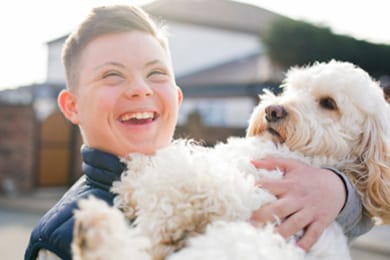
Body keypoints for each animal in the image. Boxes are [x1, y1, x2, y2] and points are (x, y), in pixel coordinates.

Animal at [71, 60, 390, 260]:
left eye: (328, 103)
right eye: (291, 89)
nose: (273, 111)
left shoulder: (233, 192)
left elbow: (174, 176)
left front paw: (134, 182)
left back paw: (95, 229)